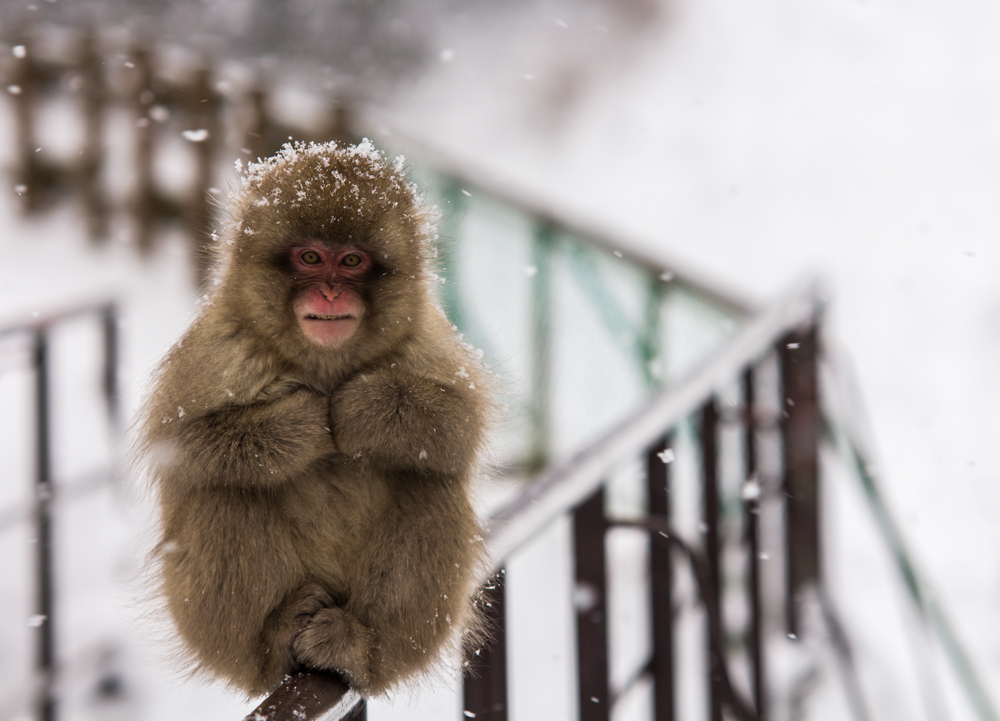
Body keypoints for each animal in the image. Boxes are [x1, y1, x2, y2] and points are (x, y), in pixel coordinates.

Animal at [139, 138, 494, 696]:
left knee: (429, 482)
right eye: (309, 257)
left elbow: (461, 426)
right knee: (224, 491)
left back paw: (361, 648)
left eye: (350, 260)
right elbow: (179, 447)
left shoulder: (423, 341)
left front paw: (359, 410)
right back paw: (274, 639)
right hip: (206, 627)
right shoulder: (219, 348)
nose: (329, 292)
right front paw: (302, 423)